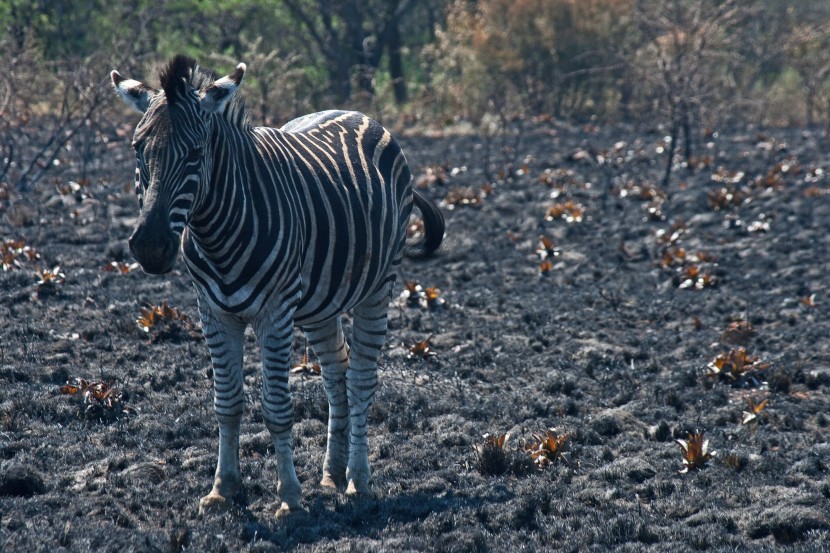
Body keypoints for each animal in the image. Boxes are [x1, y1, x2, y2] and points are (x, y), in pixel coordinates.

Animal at [114, 54, 446, 516]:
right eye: (137, 149)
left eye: (196, 153)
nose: (150, 245)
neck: (217, 234)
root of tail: (356, 112)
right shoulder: (212, 312)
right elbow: (227, 402)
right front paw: (223, 489)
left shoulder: (275, 312)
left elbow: (276, 408)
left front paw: (289, 496)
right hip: (320, 303)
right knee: (335, 373)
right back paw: (331, 475)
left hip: (379, 285)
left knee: (361, 378)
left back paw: (358, 482)